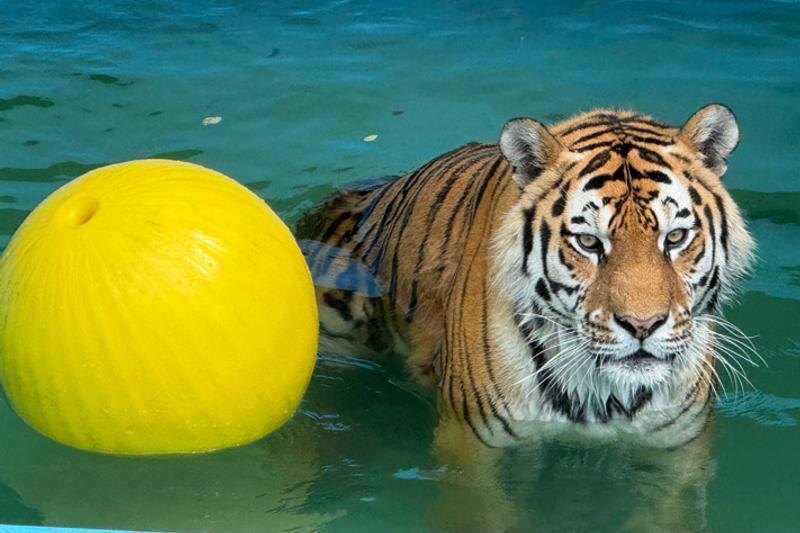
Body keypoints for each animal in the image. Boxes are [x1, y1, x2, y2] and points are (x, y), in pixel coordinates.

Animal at [296, 104, 754, 454]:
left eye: (675, 237)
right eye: (589, 242)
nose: (642, 326)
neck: (601, 394)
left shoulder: (677, 445)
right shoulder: (471, 440)